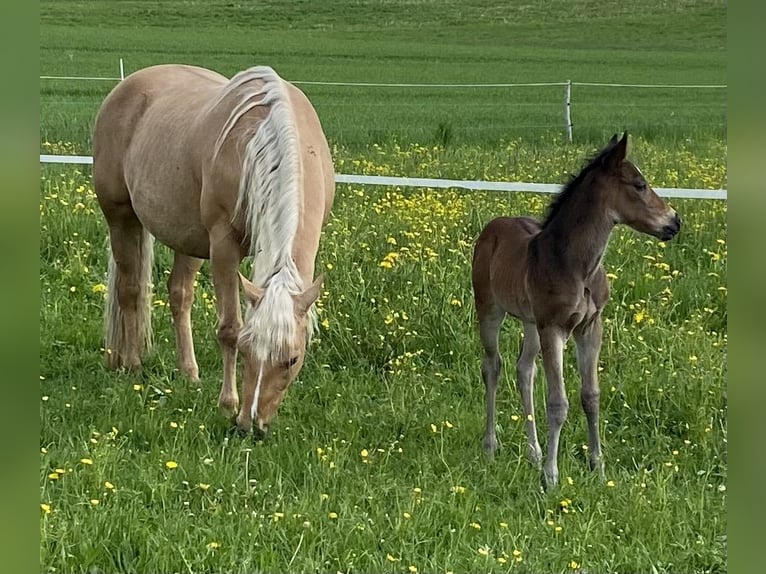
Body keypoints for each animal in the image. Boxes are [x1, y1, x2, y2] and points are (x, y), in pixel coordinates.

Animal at [92, 64, 335, 436]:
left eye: (292, 359)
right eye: (247, 350)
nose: (251, 426)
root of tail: (125, 87)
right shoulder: (223, 245)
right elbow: (229, 328)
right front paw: (228, 403)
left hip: (189, 238)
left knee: (179, 295)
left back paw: (189, 373)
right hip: (120, 217)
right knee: (130, 291)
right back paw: (131, 365)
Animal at [472, 133, 681, 489]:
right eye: (639, 185)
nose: (675, 221)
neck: (576, 267)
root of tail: (493, 228)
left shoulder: (590, 327)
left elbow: (590, 396)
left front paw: (597, 465)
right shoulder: (554, 328)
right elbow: (558, 402)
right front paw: (551, 477)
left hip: (531, 323)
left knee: (524, 370)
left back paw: (533, 452)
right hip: (490, 309)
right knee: (493, 366)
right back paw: (490, 447)